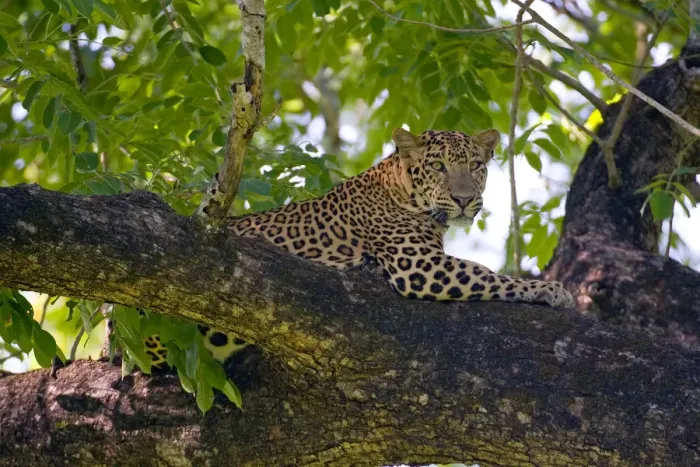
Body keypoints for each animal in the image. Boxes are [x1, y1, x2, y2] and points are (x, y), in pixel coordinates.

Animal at [115, 127, 574, 369]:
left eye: (476, 167)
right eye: (438, 166)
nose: (464, 199)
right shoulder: (418, 265)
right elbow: (488, 275)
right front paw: (551, 291)